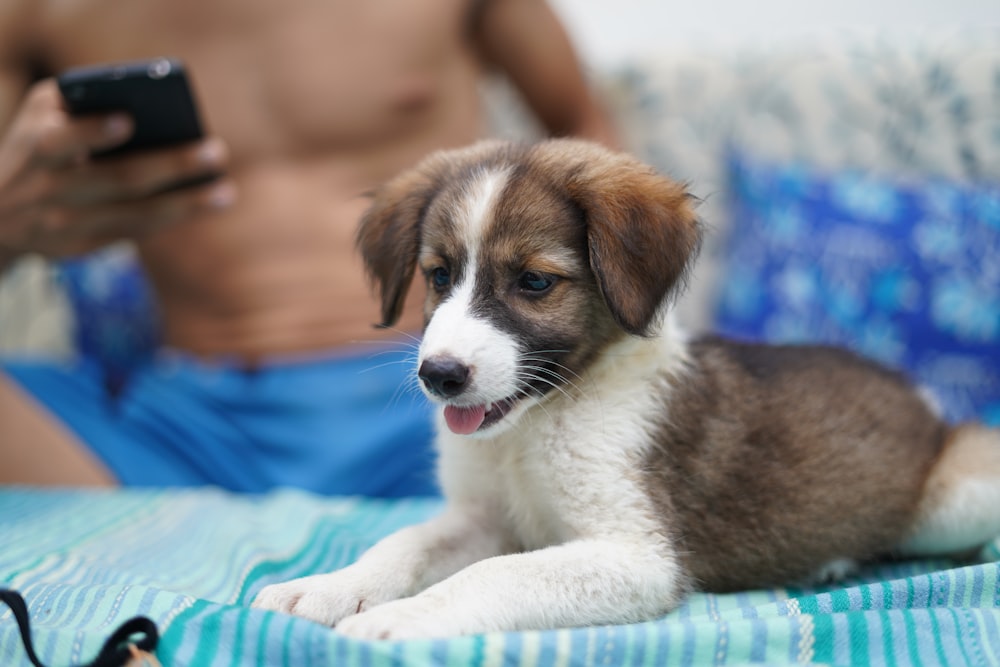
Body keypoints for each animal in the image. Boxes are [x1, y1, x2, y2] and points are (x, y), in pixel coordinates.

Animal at [254, 138, 1000, 640]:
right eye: (438, 276)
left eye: (534, 281)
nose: (439, 377)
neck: (534, 425)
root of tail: (927, 404)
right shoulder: (484, 517)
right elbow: (403, 543)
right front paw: (327, 588)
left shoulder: (639, 554)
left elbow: (494, 574)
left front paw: (403, 619)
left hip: (954, 498)